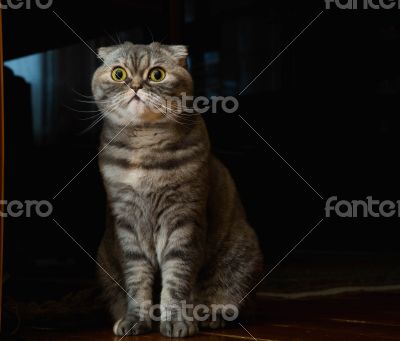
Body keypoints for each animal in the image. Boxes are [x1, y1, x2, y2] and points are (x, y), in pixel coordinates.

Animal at [92, 41, 264, 336]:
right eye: (118, 74)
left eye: (157, 74)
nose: (135, 86)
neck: (144, 145)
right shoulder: (125, 221)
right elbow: (137, 280)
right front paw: (136, 320)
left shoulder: (183, 218)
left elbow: (176, 278)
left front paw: (176, 321)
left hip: (240, 256)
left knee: (232, 302)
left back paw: (210, 315)